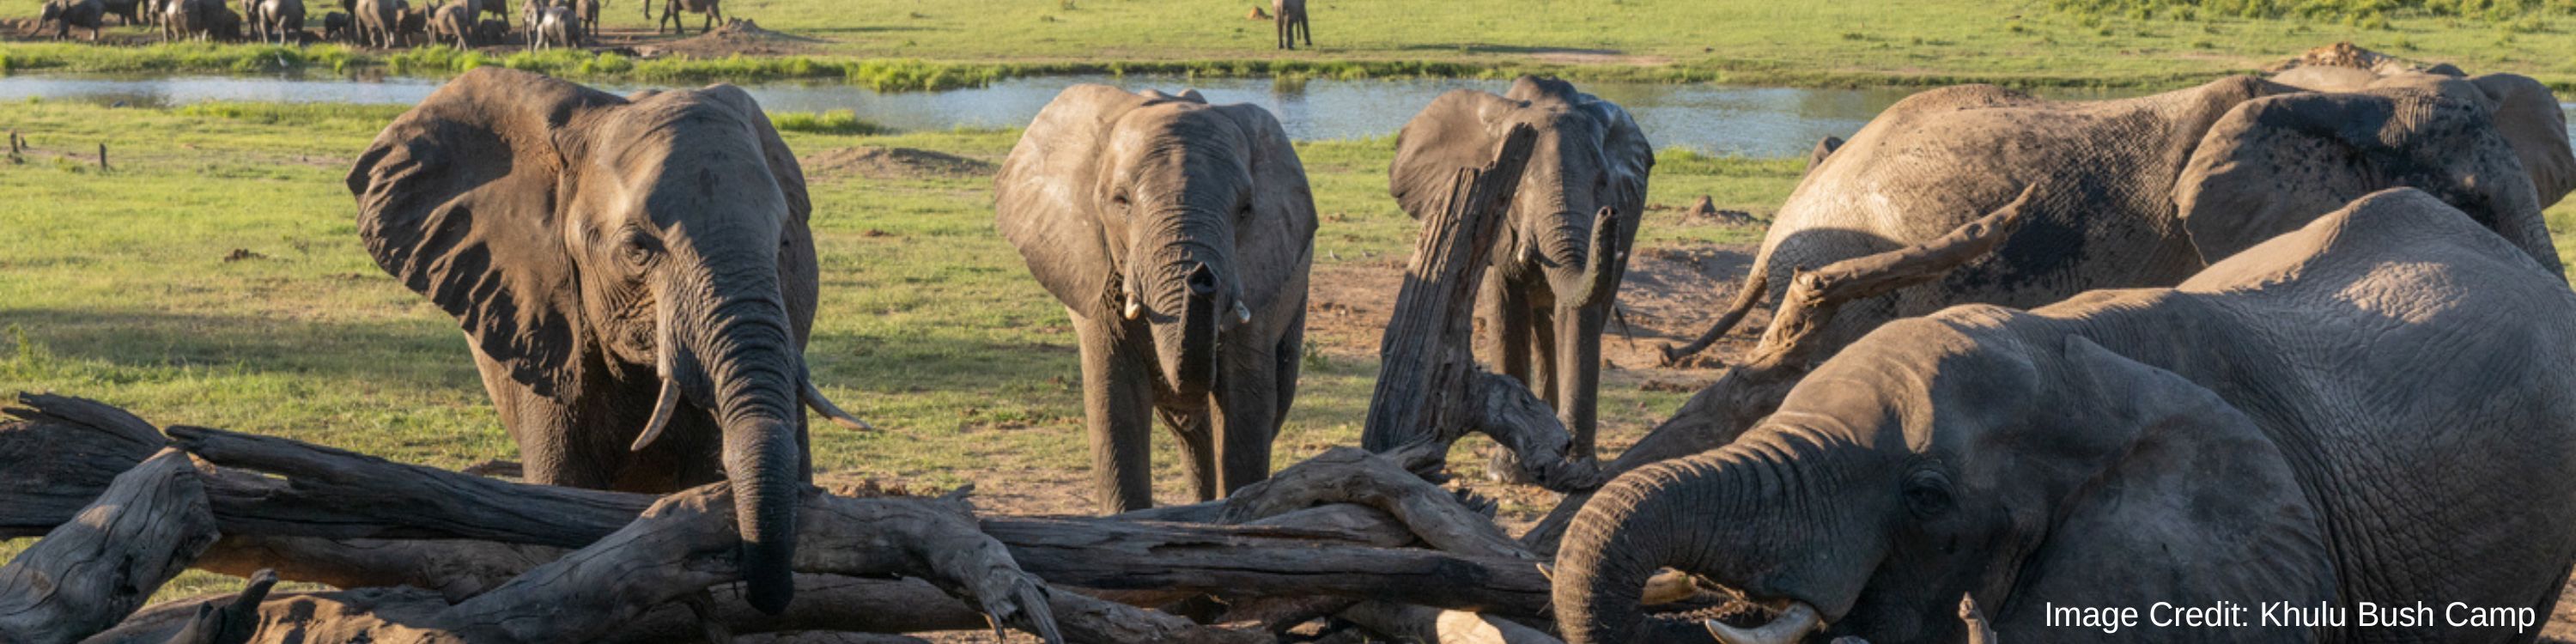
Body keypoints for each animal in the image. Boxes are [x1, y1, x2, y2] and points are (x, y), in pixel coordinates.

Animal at [995, 85, 1318, 513]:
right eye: (1121, 201)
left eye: (1246, 210)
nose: (1201, 276)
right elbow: (1115, 402)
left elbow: (1246, 405)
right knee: (1189, 428)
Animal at [1383, 76, 1652, 459]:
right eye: (1520, 182)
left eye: (1603, 182)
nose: (1608, 213)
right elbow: (1506, 308)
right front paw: (1509, 465)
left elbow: (1577, 316)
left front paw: (1576, 464)